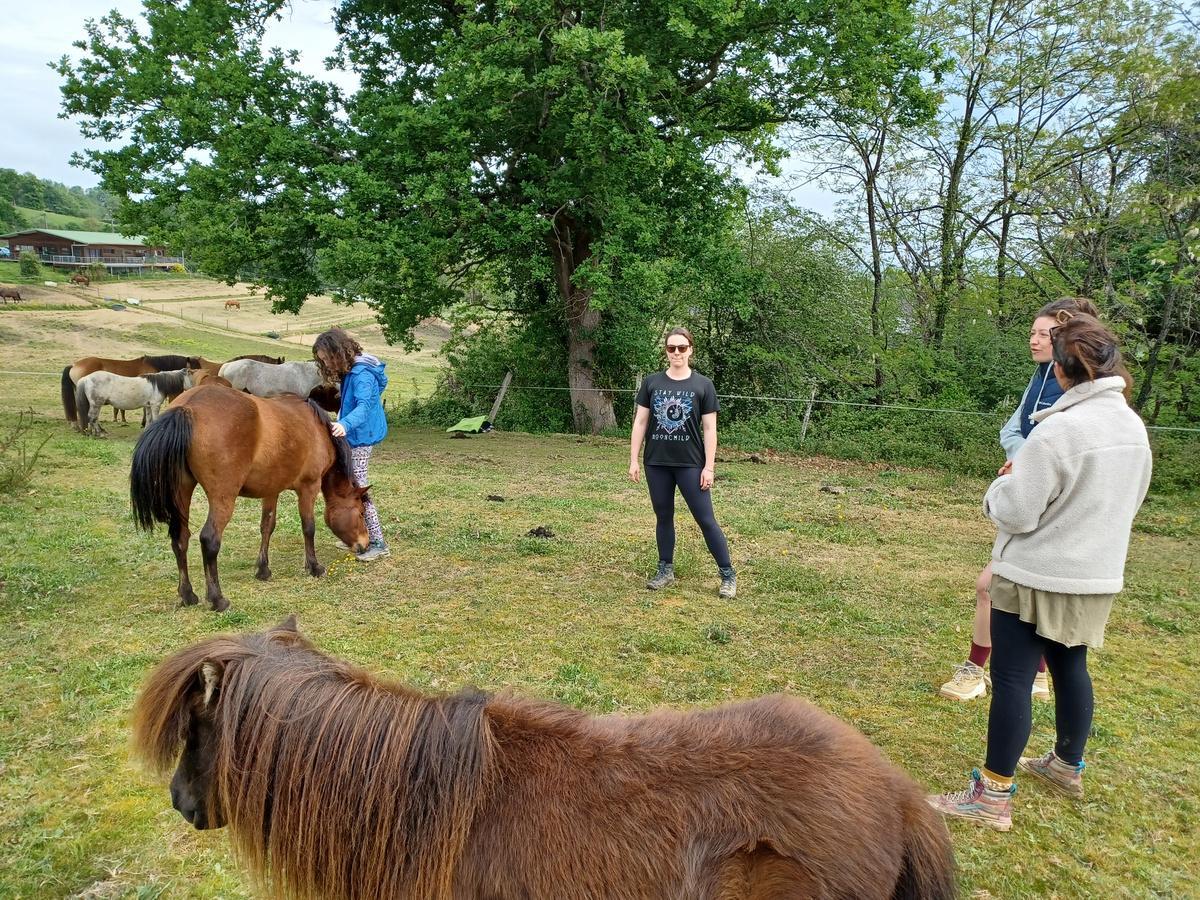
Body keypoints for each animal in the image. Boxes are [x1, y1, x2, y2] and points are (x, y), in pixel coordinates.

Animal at [129, 385, 370, 611]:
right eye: (360, 513)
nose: (365, 544)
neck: (316, 427)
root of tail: (187, 407)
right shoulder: (308, 487)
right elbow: (309, 527)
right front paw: (314, 567)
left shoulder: (271, 490)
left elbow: (267, 526)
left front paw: (263, 569)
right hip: (223, 498)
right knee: (209, 539)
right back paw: (217, 599)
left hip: (182, 491)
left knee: (181, 538)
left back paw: (188, 595)